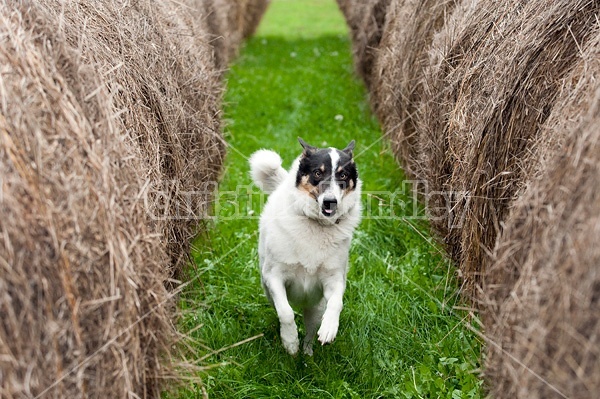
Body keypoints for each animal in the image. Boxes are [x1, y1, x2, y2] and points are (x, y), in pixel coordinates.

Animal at [248, 138, 360, 356]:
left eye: (343, 175)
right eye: (318, 173)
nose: (330, 202)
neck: (316, 224)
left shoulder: (334, 279)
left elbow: (337, 303)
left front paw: (329, 328)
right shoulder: (274, 276)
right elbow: (286, 312)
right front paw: (290, 341)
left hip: (315, 307)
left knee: (310, 330)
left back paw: (307, 355)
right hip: (268, 290)